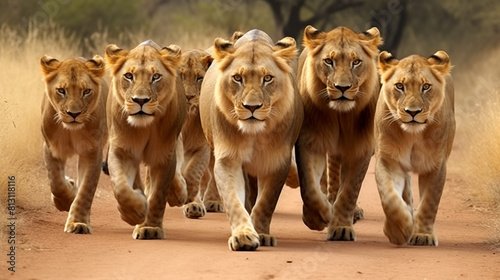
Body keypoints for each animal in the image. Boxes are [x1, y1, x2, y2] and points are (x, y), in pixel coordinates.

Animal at [39, 54, 107, 234]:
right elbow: (56, 183)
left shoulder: (92, 152)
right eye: (62, 91)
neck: (71, 131)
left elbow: (86, 190)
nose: (74, 114)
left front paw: (78, 223)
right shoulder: (51, 147)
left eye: (86, 91)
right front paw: (66, 200)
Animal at [104, 40, 187, 240]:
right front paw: (135, 211)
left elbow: (158, 194)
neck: (144, 127)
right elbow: (121, 187)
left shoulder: (163, 155)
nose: (140, 101)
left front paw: (150, 228)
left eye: (155, 77)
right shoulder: (122, 151)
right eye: (128, 76)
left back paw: (178, 193)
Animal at [200, 29, 304, 250]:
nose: (252, 107)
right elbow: (234, 201)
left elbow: (266, 202)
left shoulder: (276, 162)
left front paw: (262, 233)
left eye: (268, 78)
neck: (254, 134)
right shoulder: (228, 159)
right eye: (238, 78)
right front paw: (244, 235)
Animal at [294, 25, 380, 241]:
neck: (341, 116)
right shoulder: (310, 141)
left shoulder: (361, 147)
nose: (343, 88)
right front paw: (317, 217)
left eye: (356, 62)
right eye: (328, 61)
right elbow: (310, 186)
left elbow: (350, 191)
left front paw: (341, 227)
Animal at [376, 50, 456, 245]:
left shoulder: (436, 165)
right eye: (399, 86)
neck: (412, 135)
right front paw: (399, 230)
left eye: (426, 87)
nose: (413, 112)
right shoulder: (388, 160)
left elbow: (429, 202)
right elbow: (389, 197)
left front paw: (423, 235)